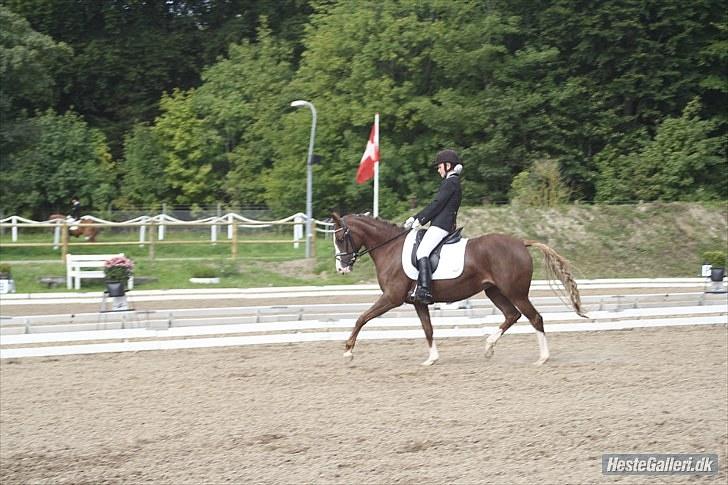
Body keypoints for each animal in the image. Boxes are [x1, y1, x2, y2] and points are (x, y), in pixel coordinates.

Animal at [332, 214, 588, 364]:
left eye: (341, 238)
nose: (341, 269)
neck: (390, 248)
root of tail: (521, 243)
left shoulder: (391, 298)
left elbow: (362, 318)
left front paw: (348, 350)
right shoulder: (418, 301)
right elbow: (428, 329)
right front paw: (432, 359)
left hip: (516, 292)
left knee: (535, 318)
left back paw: (542, 358)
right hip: (494, 291)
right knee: (512, 315)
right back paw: (489, 347)